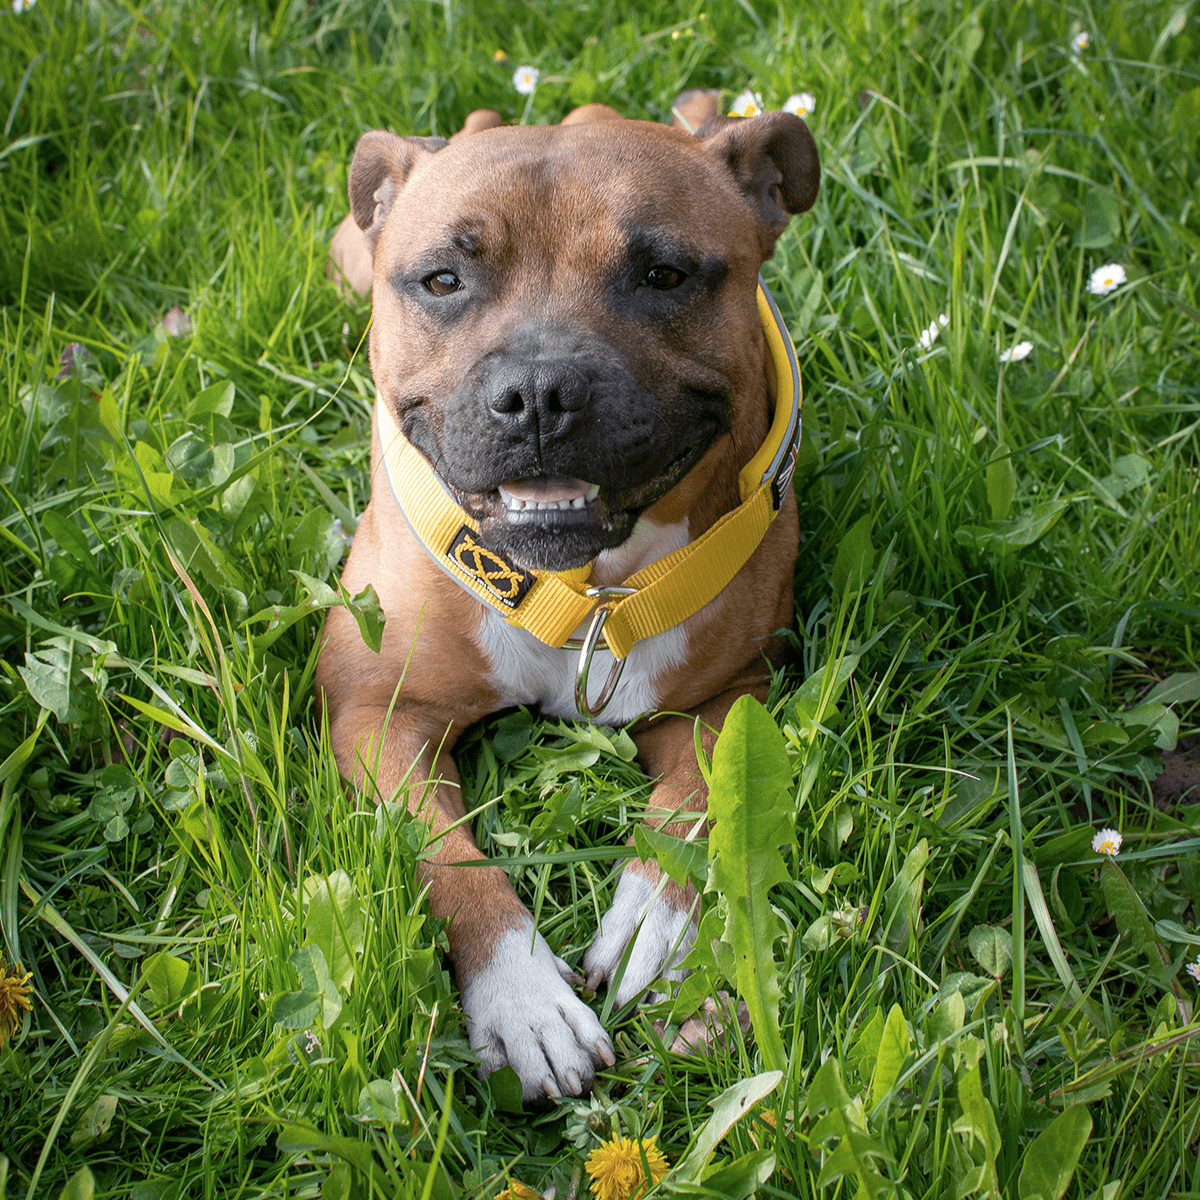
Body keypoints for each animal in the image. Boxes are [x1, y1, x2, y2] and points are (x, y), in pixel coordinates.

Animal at [316, 93, 825, 1099]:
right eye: (442, 279)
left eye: (664, 275)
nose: (540, 392)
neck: (577, 592)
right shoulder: (377, 718)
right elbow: (446, 856)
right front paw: (522, 1000)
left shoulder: (731, 695)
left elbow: (696, 799)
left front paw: (653, 928)